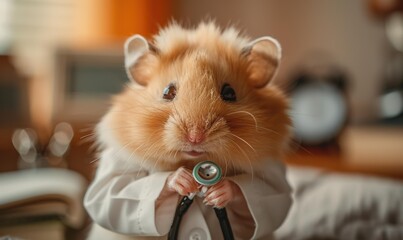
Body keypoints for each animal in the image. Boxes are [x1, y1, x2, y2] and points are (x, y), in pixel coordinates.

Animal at [86, 21, 294, 239]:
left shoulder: (273, 178)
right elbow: (112, 192)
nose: (195, 137)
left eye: (229, 93)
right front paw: (183, 181)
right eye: (168, 92)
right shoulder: (116, 170)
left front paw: (220, 192)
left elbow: (268, 195)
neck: (192, 160)